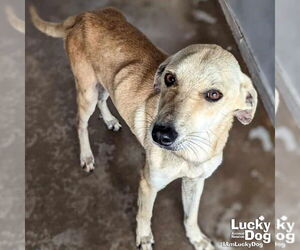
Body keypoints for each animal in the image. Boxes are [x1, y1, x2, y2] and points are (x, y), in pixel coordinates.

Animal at [29, 6, 256, 250]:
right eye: (169, 78)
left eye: (214, 94)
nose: (160, 135)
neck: (191, 151)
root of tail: (85, 16)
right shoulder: (148, 184)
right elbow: (145, 214)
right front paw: (144, 237)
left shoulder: (195, 181)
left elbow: (191, 214)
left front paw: (196, 238)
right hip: (86, 91)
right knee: (81, 123)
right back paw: (87, 156)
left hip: (109, 82)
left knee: (103, 100)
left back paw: (109, 120)